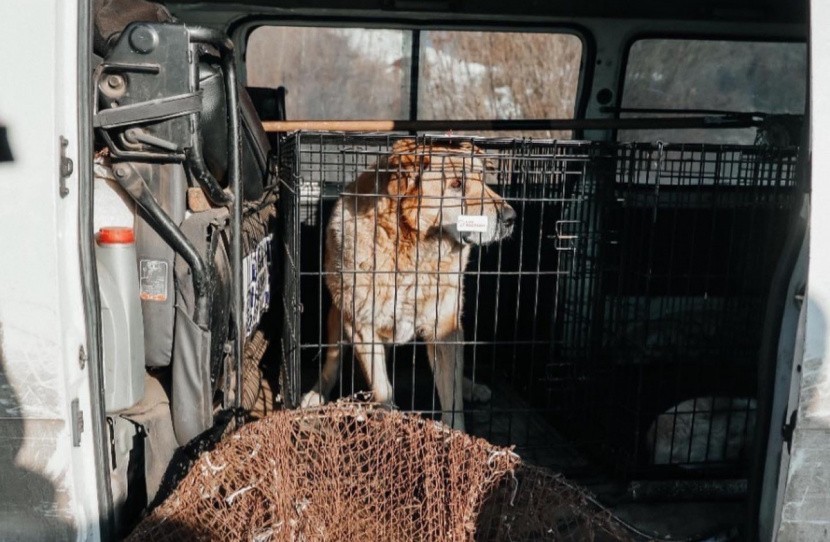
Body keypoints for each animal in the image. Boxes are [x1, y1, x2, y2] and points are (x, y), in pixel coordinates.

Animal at [302, 138, 516, 432]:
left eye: (482, 180)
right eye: (456, 184)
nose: (511, 218)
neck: (412, 249)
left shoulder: (444, 327)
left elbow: (451, 396)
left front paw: (457, 435)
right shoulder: (360, 326)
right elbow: (382, 388)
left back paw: (471, 387)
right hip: (337, 316)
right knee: (332, 360)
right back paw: (317, 393)